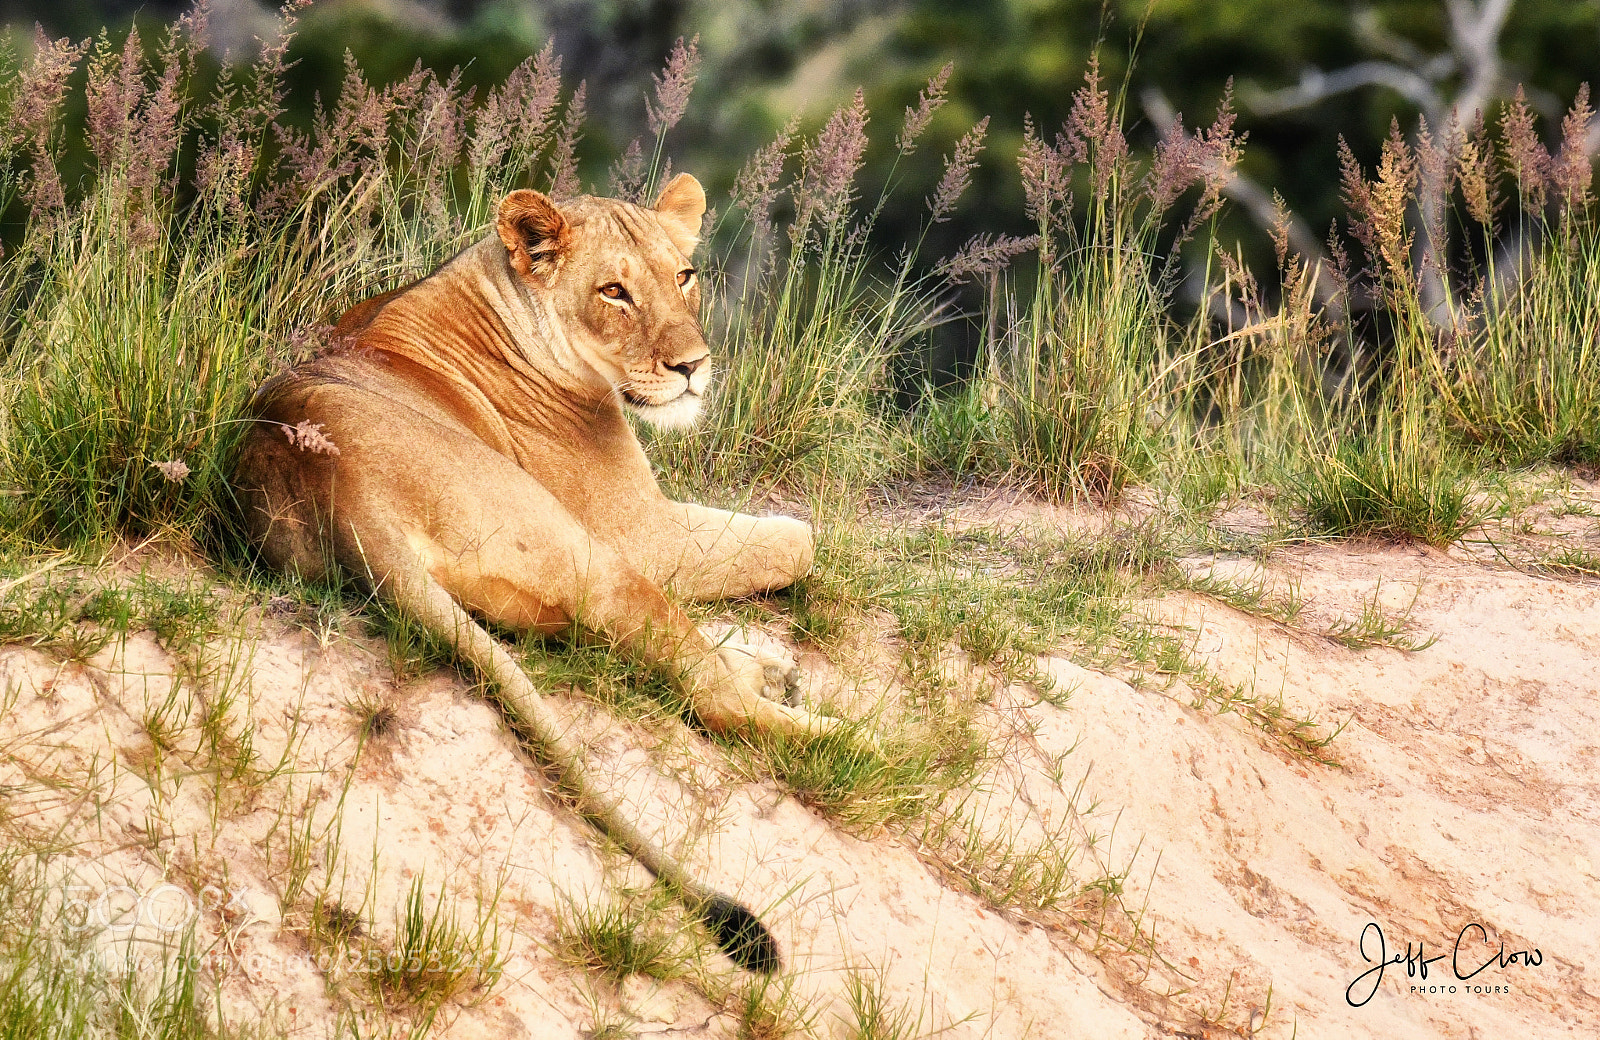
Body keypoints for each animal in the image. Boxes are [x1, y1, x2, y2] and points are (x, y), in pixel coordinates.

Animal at [232, 174, 841, 972]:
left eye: (683, 276)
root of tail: (340, 492)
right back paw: (849, 738)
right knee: (712, 699)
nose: (692, 368)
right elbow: (800, 540)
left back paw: (767, 672)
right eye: (614, 291)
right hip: (593, 555)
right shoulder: (640, 532)